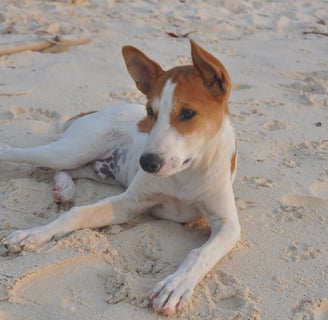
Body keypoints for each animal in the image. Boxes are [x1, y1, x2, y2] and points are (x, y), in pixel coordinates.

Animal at [1, 40, 240, 318]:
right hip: (70, 151)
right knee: (21, 153)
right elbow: (77, 214)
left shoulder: (227, 223)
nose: (146, 163)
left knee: (60, 170)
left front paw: (175, 286)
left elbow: (202, 253)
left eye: (188, 113)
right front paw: (33, 234)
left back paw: (64, 188)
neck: (184, 172)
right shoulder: (130, 202)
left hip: (96, 168)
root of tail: (96, 111)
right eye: (150, 112)